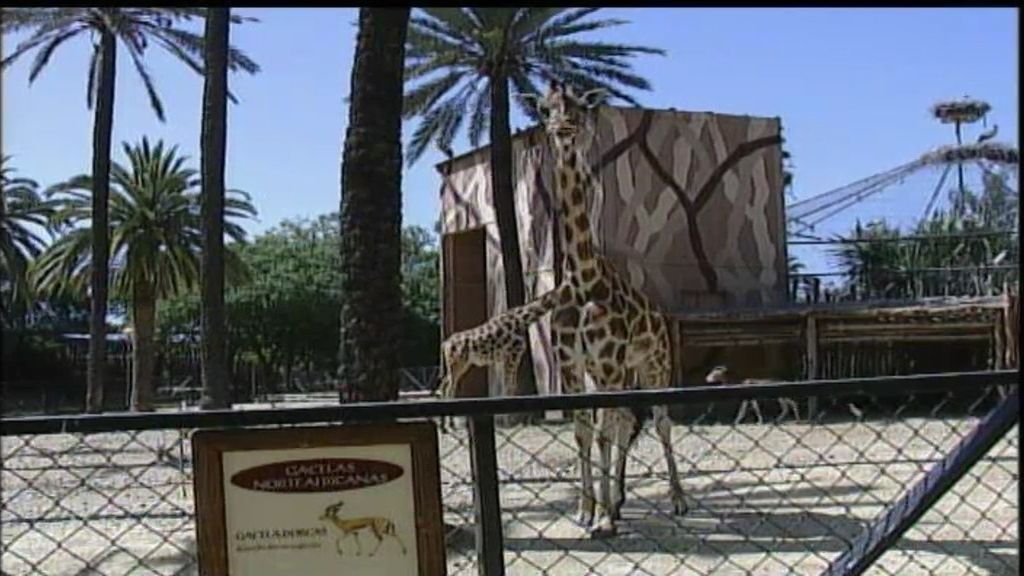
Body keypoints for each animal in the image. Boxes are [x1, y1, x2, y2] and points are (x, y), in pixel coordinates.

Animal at [520, 78, 688, 537]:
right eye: (543, 109)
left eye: (578, 105)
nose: (563, 128)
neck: (582, 277)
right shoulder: (574, 363)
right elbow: (583, 431)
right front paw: (586, 511)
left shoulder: (609, 361)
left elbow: (602, 433)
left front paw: (603, 519)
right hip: (618, 370)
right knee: (626, 420)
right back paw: (620, 501)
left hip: (654, 364)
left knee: (660, 421)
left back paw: (677, 500)